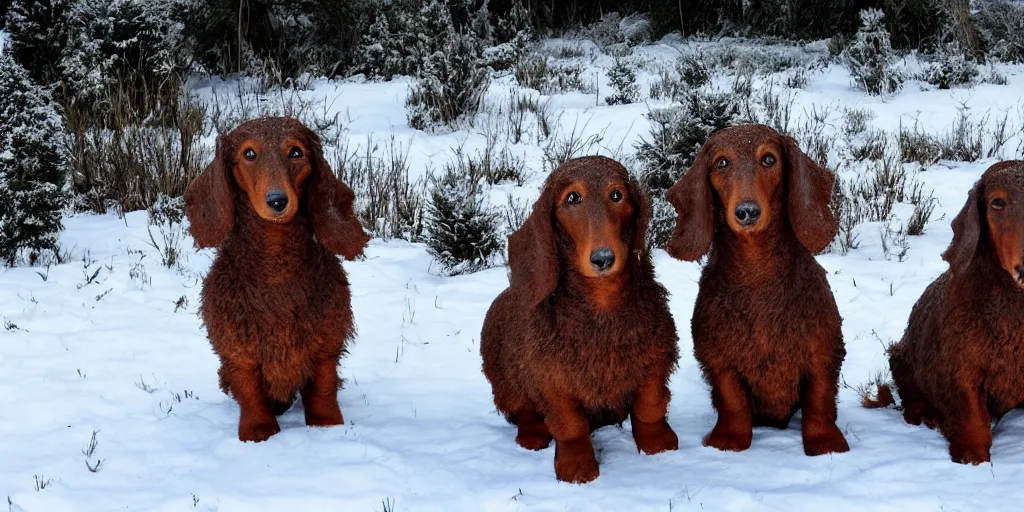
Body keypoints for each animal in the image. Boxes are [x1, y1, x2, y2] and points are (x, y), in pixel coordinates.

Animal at [186, 117, 370, 442]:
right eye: (249, 153)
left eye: (296, 152)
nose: (277, 201)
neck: (276, 271)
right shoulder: (238, 352)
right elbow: (249, 393)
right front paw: (258, 432)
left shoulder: (326, 345)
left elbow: (323, 389)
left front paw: (327, 427)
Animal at [481, 155, 679, 483]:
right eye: (572, 198)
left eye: (616, 195)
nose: (603, 258)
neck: (602, 305)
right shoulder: (551, 381)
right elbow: (571, 426)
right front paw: (576, 466)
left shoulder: (655, 360)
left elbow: (649, 407)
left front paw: (659, 445)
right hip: (505, 382)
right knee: (524, 412)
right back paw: (533, 435)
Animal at [663, 123, 847, 456]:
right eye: (721, 163)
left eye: (769, 159)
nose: (747, 211)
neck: (757, 277)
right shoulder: (719, 361)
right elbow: (733, 401)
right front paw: (729, 440)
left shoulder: (823, 354)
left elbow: (819, 402)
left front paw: (825, 443)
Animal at [876, 161, 1024, 466]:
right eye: (997, 202)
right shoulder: (960, 372)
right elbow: (973, 418)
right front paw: (972, 456)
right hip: (900, 357)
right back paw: (928, 416)